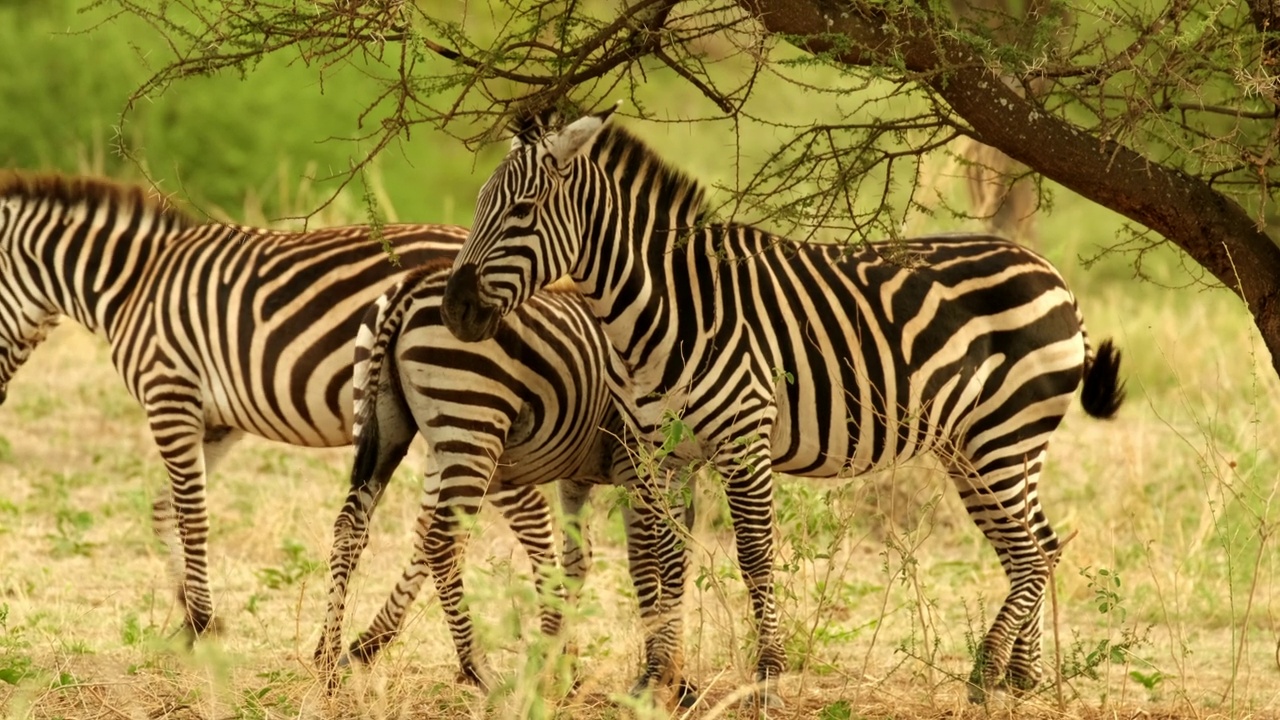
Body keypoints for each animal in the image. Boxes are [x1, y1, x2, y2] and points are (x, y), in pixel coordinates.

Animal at [0, 169, 576, 650]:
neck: (131, 284)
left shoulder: (170, 392)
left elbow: (192, 515)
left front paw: (202, 623)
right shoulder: (216, 421)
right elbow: (166, 511)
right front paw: (194, 619)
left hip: (467, 411)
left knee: (525, 515)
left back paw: (552, 647)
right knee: (440, 527)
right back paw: (371, 643)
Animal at [317, 258, 701, 702]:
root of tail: (413, 285)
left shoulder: (579, 476)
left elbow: (585, 559)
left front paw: (570, 670)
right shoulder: (634, 465)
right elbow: (647, 561)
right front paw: (659, 678)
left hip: (391, 424)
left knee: (351, 527)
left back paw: (327, 663)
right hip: (473, 426)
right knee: (441, 542)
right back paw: (481, 671)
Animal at [442, 109, 1131, 702]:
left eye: (522, 212)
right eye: (476, 207)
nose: (455, 311)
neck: (662, 311)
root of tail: (1052, 274)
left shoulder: (742, 441)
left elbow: (753, 556)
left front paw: (768, 680)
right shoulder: (660, 453)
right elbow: (667, 560)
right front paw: (656, 681)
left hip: (1000, 439)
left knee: (1030, 551)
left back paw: (986, 676)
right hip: (987, 450)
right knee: (1039, 545)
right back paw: (1024, 677)